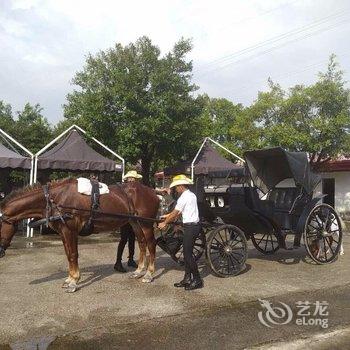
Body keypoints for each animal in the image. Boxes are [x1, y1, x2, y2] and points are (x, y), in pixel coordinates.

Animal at [0, 179, 160, 292]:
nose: (0, 252)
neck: (56, 199)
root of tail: (153, 192)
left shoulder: (70, 231)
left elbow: (73, 255)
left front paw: (74, 281)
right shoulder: (63, 232)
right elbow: (68, 254)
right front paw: (69, 279)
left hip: (146, 224)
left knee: (151, 244)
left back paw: (149, 274)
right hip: (135, 222)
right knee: (142, 243)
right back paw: (138, 271)